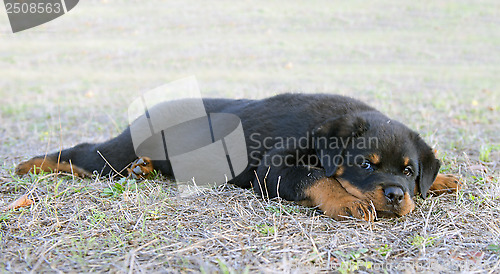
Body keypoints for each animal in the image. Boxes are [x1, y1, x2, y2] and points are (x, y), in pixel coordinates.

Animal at [16, 93, 460, 220]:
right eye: (366, 164)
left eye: (409, 172)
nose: (397, 196)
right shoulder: (273, 167)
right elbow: (316, 177)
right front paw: (347, 201)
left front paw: (439, 179)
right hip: (111, 156)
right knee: (83, 154)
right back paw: (28, 165)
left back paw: (144, 171)